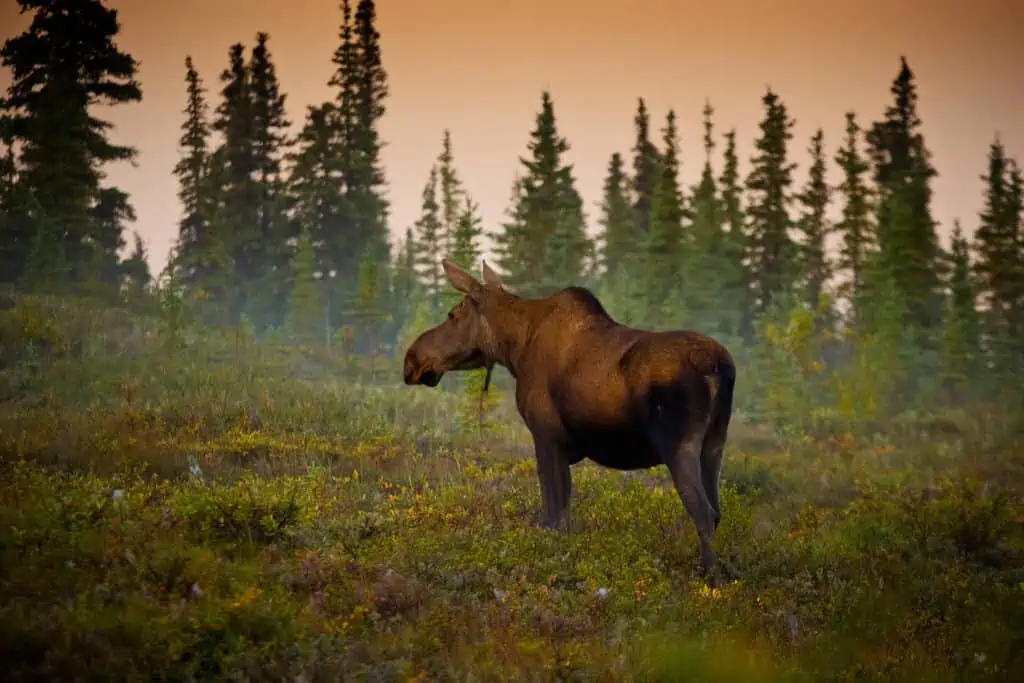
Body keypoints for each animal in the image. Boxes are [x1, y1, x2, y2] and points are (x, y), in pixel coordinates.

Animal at [401, 259, 737, 585]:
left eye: (452, 314)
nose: (411, 361)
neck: (514, 348)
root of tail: (719, 366)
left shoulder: (546, 434)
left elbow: (554, 514)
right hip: (714, 444)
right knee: (717, 510)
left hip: (679, 445)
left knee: (703, 511)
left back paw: (711, 582)